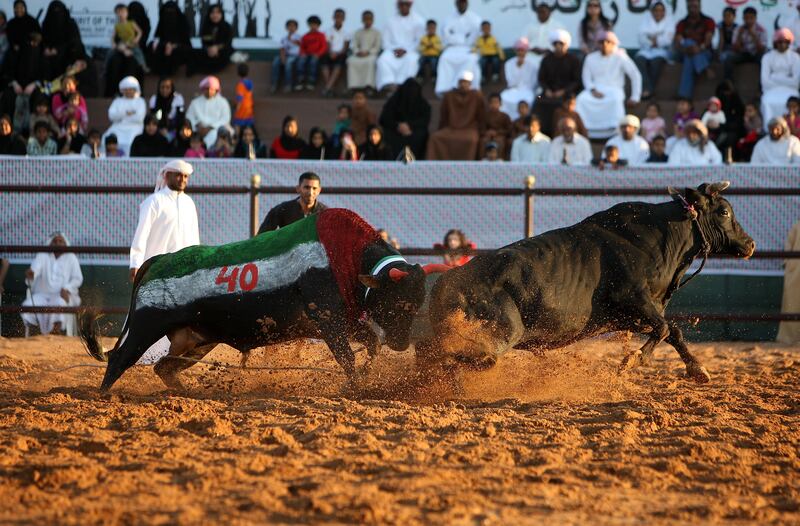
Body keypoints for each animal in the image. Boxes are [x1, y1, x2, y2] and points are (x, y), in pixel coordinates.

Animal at [418, 183, 756, 384]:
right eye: (725, 211)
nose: (750, 244)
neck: (656, 238)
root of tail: (446, 281)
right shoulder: (634, 299)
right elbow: (663, 329)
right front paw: (631, 361)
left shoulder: (627, 315)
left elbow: (673, 331)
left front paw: (698, 369)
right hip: (500, 330)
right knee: (476, 357)